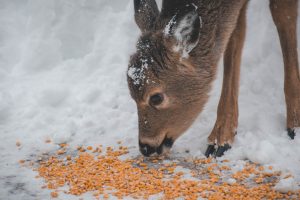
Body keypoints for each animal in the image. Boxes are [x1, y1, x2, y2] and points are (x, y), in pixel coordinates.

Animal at [127, 0, 300, 158]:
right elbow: (234, 34)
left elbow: (283, 14)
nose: (146, 147)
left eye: (156, 98)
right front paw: (220, 140)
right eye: (132, 96)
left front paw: (295, 125)